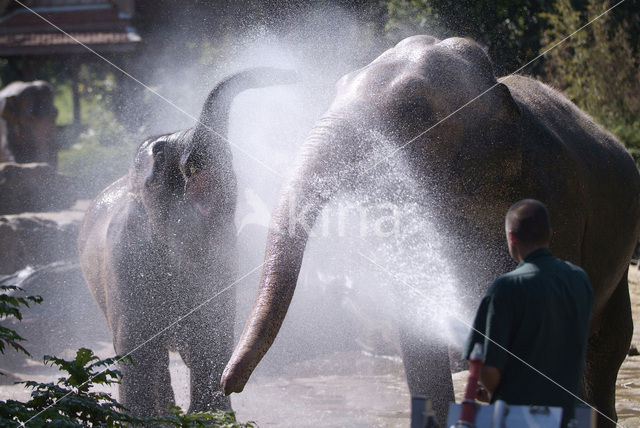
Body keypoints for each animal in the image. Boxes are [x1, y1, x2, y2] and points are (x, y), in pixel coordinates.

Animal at [79, 67, 298, 418]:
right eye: (162, 155)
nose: (294, 74)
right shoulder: (127, 254)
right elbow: (136, 352)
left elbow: (210, 343)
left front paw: (212, 418)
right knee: (151, 356)